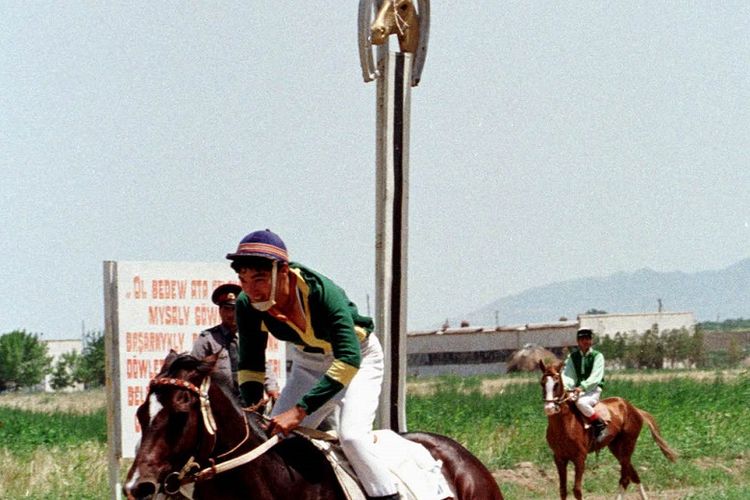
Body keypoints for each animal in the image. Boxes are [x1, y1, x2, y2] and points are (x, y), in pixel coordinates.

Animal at [536, 362, 680, 498]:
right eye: (542, 383)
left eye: (556, 383)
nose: (549, 408)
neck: (566, 424)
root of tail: (634, 408)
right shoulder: (559, 458)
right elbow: (563, 490)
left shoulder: (580, 458)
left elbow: (577, 491)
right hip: (616, 448)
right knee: (633, 475)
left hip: (627, 447)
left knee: (625, 479)